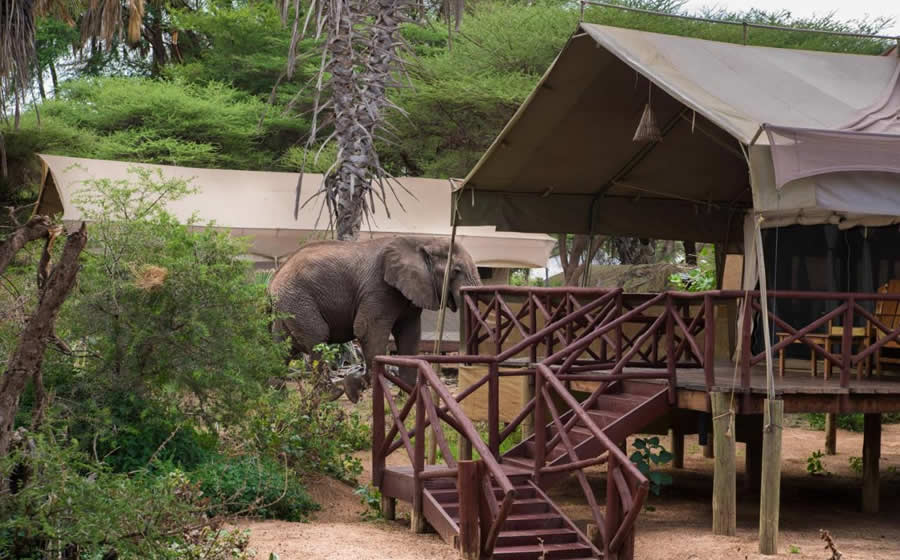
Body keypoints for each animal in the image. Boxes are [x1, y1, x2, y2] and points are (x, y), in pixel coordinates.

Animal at [268, 236, 482, 402]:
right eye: (456, 271)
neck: (421, 241)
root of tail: (273, 278)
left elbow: (410, 335)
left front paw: (408, 396)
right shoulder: (379, 288)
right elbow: (367, 329)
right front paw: (354, 388)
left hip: (288, 305)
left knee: (284, 346)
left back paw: (277, 396)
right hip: (298, 299)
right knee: (317, 338)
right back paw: (332, 395)